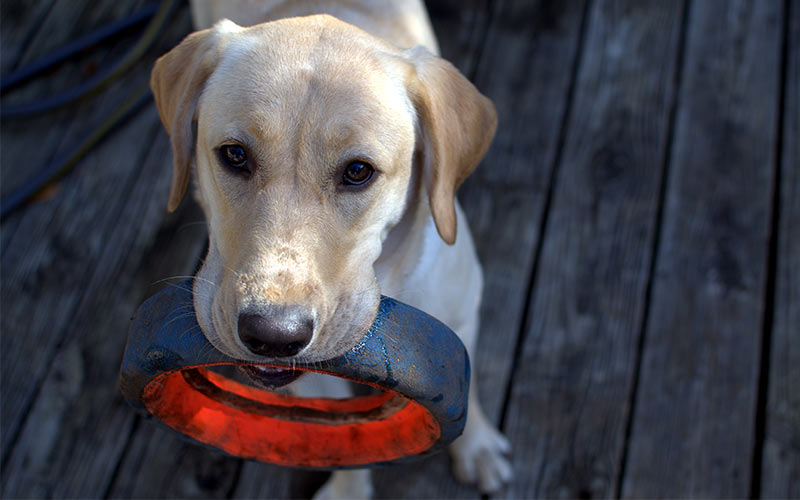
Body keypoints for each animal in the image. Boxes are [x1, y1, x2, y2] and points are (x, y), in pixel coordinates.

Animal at [151, 0, 512, 496]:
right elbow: (342, 438)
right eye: (234, 155)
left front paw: (476, 446)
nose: (273, 334)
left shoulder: (462, 316)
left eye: (358, 171)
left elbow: (469, 390)